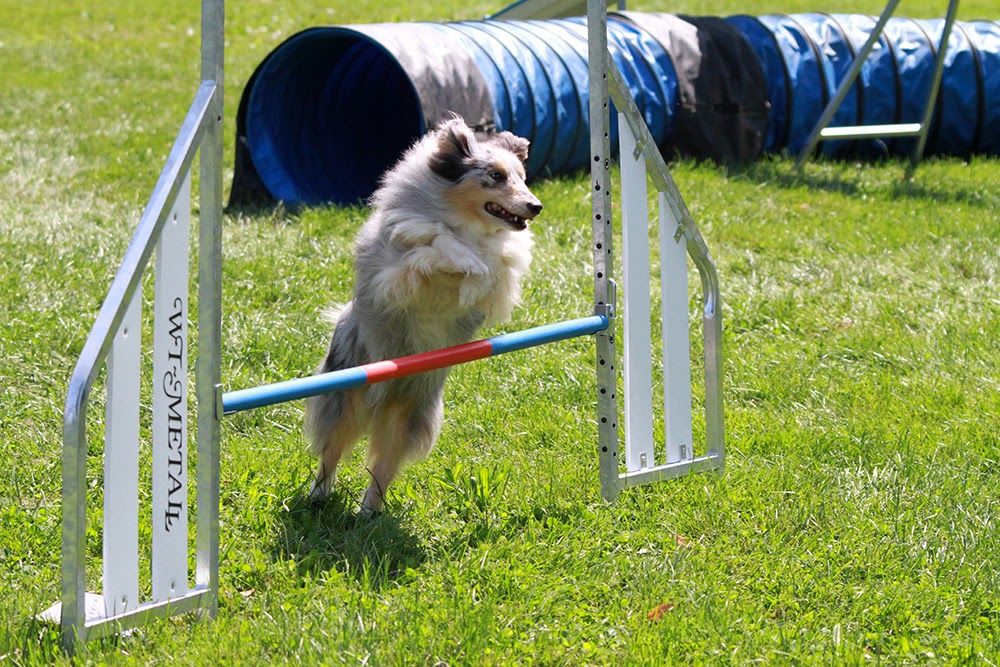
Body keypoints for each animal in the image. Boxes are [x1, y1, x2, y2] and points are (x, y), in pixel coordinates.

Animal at [304, 115, 544, 516]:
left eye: (523, 177)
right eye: (495, 176)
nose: (536, 206)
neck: (466, 223)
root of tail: (382, 398)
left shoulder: (502, 282)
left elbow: (495, 267)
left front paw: (477, 271)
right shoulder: (397, 271)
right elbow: (436, 242)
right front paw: (466, 260)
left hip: (412, 416)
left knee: (382, 467)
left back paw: (368, 512)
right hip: (346, 396)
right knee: (331, 452)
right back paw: (318, 496)